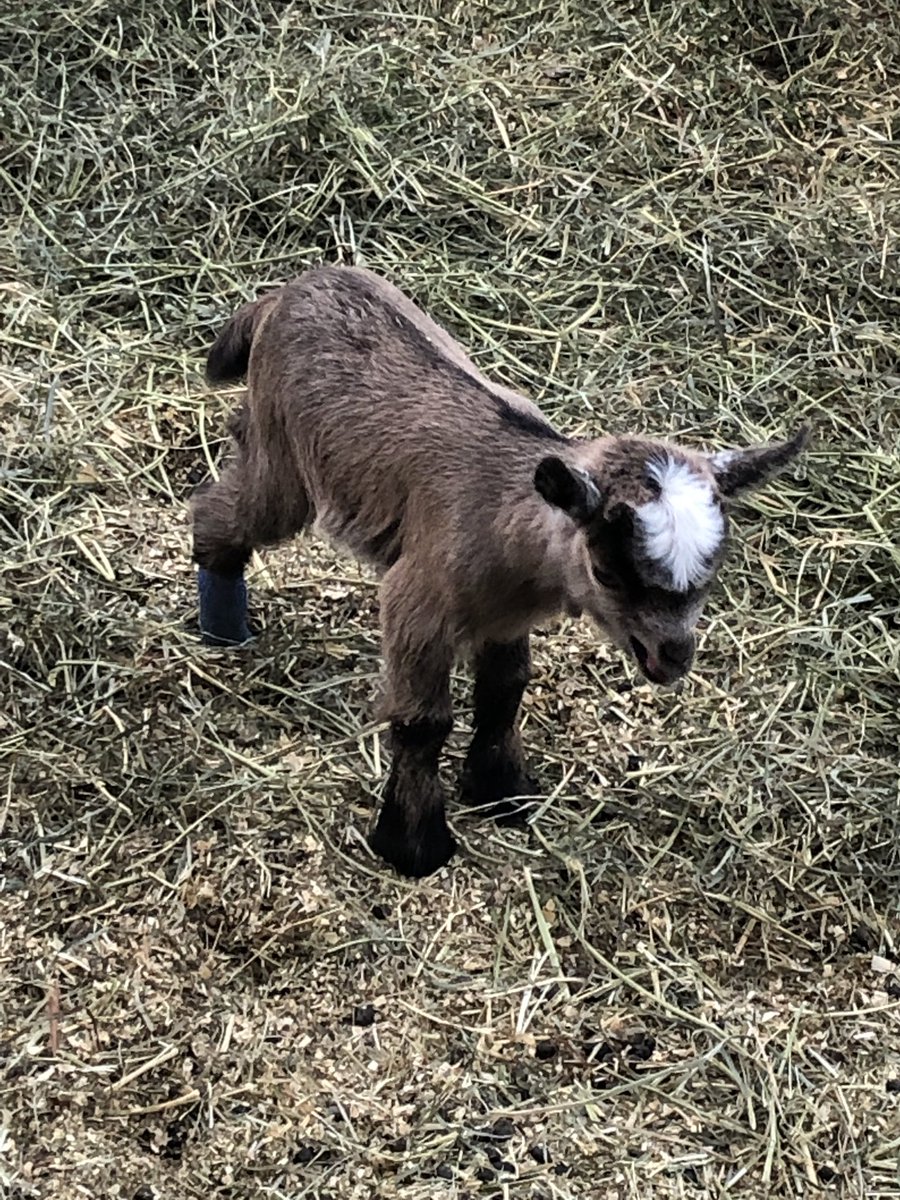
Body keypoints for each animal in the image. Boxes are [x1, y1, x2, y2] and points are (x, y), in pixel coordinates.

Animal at [192, 265, 808, 878]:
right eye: (607, 571)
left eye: (714, 569)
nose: (673, 655)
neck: (507, 519)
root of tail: (296, 285)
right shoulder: (417, 601)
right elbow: (423, 721)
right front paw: (414, 844)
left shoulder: (506, 615)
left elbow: (504, 691)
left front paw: (502, 789)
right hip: (282, 454)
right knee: (228, 508)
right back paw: (222, 624)